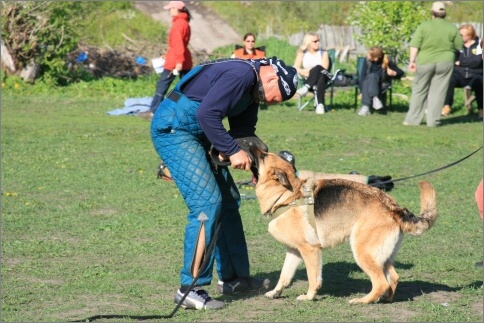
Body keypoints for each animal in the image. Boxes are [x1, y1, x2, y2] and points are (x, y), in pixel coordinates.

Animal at [250, 148, 438, 306]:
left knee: (381, 283)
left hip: (362, 252)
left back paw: (362, 301)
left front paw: (309, 297)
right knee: (394, 278)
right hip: (382, 256)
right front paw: (275, 293)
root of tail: (394, 208)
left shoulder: (310, 250)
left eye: (263, 156)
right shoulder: (294, 251)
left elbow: (313, 279)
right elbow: (284, 276)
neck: (286, 195)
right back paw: (385, 299)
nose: (250, 144)